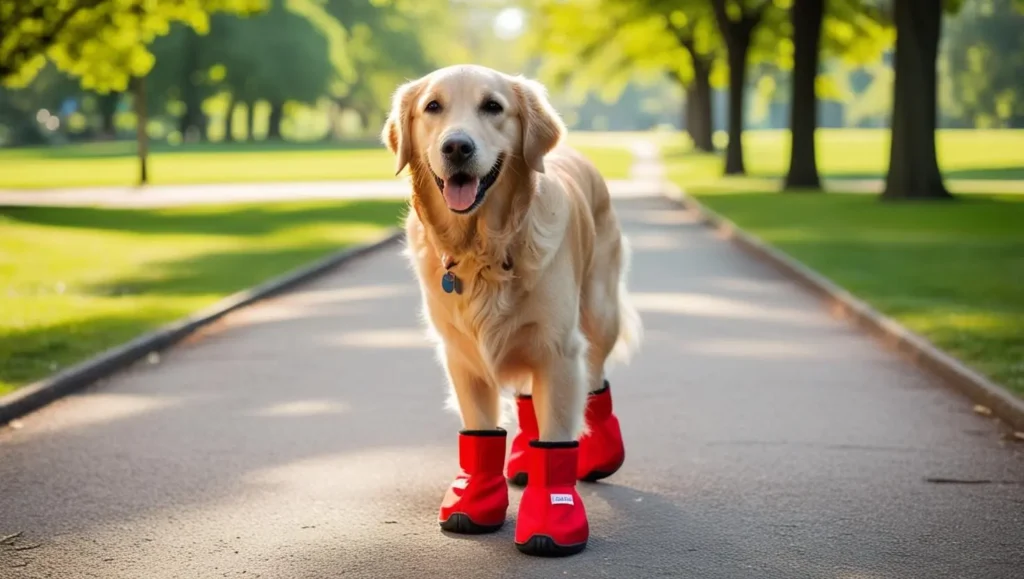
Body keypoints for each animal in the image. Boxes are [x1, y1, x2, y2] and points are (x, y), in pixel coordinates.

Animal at [385, 64, 638, 553]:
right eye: (433, 106)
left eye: (493, 106)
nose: (457, 146)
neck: (484, 250)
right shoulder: (462, 355)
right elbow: (481, 432)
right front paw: (475, 501)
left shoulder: (560, 350)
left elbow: (557, 441)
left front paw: (553, 518)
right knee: (526, 397)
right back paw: (522, 456)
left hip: (598, 314)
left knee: (597, 382)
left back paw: (602, 455)